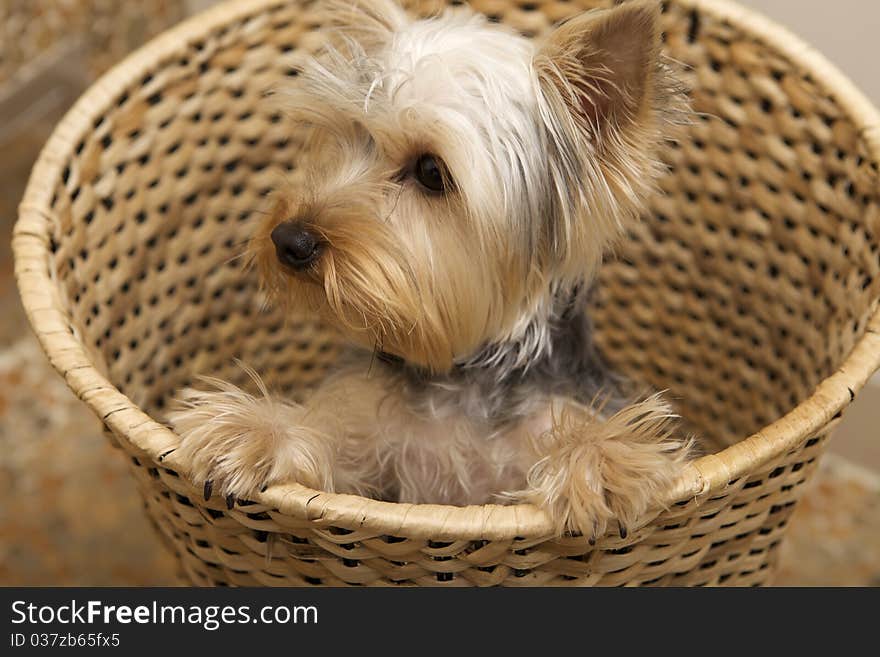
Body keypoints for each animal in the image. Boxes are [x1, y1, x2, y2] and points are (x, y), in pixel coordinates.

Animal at [170, 0, 696, 540]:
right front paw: (252, 432)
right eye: (349, 137)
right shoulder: (366, 444)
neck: (458, 374)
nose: (288, 239)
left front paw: (598, 463)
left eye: (430, 171)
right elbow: (326, 452)